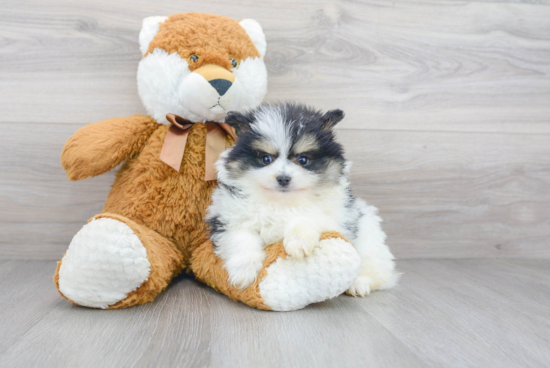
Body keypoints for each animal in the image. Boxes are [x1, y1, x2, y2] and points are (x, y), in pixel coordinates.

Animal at [207, 102, 402, 294]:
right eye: (266, 159)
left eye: (303, 160)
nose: (283, 178)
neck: (282, 203)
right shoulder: (229, 218)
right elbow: (241, 239)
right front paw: (243, 273)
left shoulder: (336, 218)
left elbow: (308, 216)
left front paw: (298, 242)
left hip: (370, 239)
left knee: (379, 271)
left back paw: (359, 284)